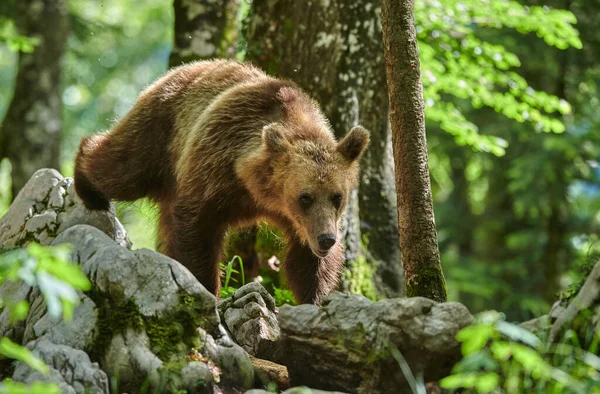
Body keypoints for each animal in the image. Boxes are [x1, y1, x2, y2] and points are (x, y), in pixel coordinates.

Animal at [72, 59, 368, 304]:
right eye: (304, 197)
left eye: (337, 197)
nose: (327, 239)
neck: (259, 190)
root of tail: (181, 69)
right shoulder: (216, 167)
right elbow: (198, 227)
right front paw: (205, 289)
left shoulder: (300, 222)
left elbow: (307, 262)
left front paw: (315, 298)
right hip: (161, 134)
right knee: (124, 168)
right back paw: (89, 186)